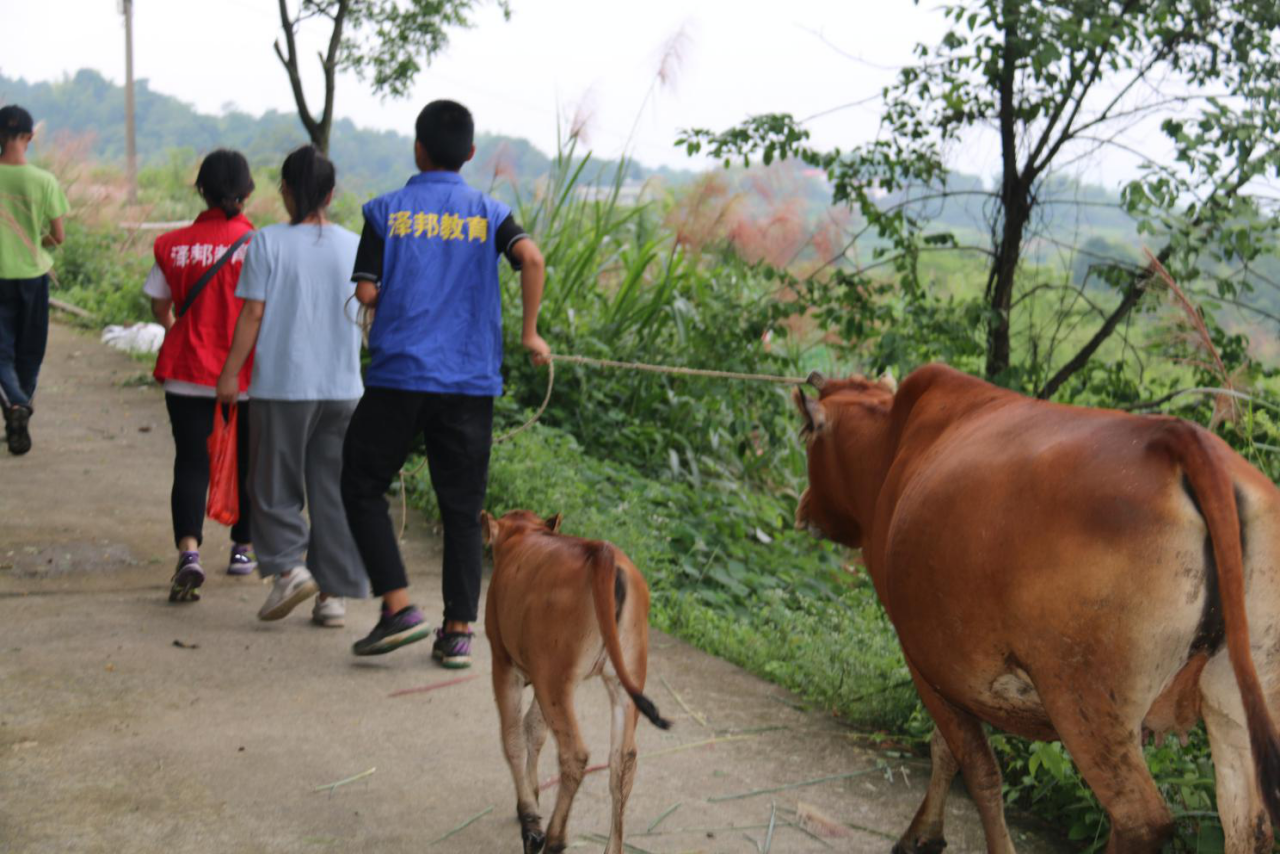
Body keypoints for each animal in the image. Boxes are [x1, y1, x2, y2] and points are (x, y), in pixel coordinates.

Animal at [481, 512, 670, 850]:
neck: (524, 533)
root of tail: (602, 552)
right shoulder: (537, 672)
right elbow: (534, 728)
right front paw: (532, 796)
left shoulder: (503, 661)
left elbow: (513, 736)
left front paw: (529, 816)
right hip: (623, 677)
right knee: (623, 760)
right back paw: (612, 847)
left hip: (553, 677)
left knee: (575, 754)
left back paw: (554, 839)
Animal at [793, 366, 1280, 854]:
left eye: (806, 435)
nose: (803, 506)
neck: (893, 444)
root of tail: (1182, 440)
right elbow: (949, 752)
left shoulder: (926, 663)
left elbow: (974, 767)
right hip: (1234, 704)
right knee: (1250, 827)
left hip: (1084, 700)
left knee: (1141, 821)